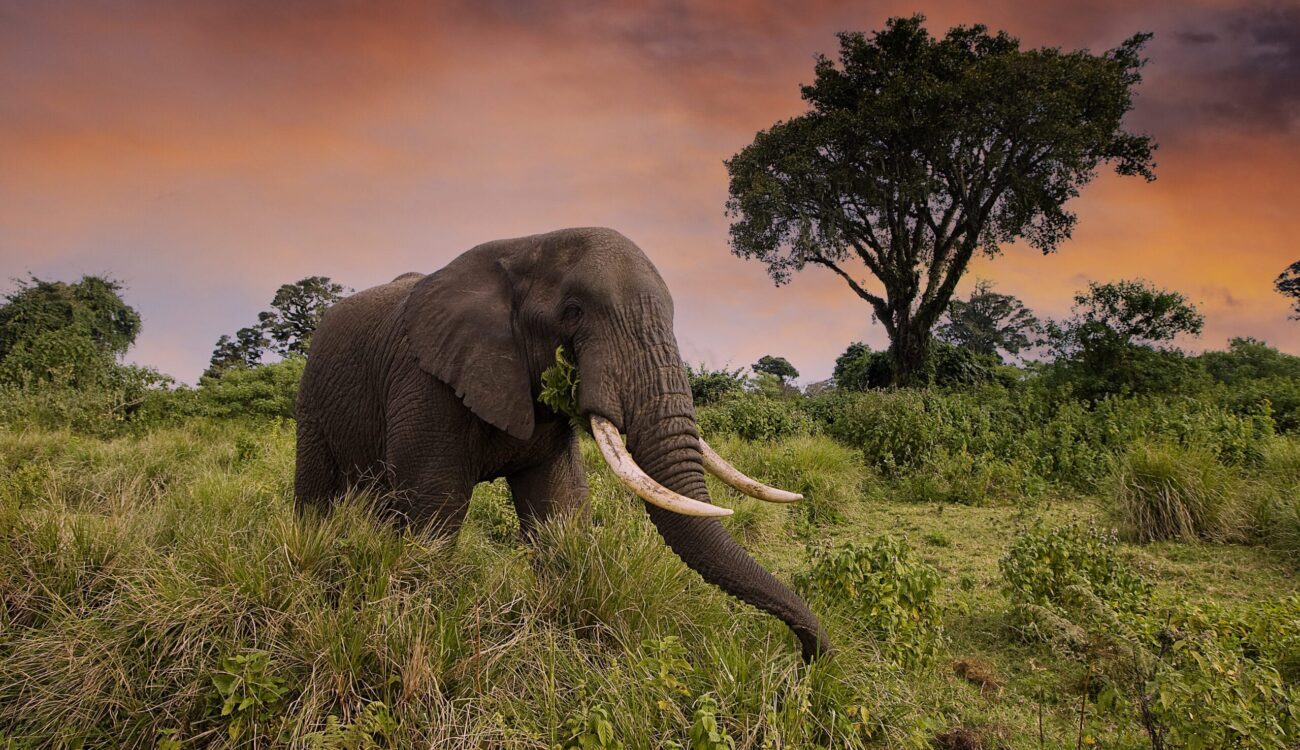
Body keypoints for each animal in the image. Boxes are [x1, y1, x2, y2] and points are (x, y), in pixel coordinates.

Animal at [294, 227, 831, 660]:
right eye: (572, 313)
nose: (808, 659)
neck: (524, 246)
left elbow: (559, 510)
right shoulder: (424, 383)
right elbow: (434, 512)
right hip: (312, 399)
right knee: (318, 492)